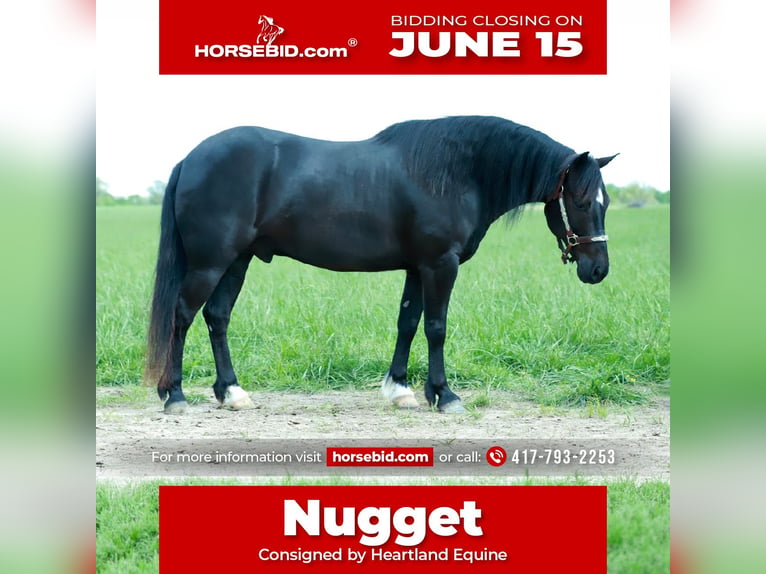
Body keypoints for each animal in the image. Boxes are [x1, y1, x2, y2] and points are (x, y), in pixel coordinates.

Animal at [145, 116, 616, 415]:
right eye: (578, 200)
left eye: (605, 200)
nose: (598, 269)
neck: (458, 172)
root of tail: (190, 159)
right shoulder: (440, 265)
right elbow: (436, 327)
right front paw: (444, 395)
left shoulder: (417, 267)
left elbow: (407, 323)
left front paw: (400, 390)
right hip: (210, 263)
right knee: (182, 315)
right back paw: (175, 395)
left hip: (236, 261)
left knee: (217, 316)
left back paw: (232, 393)